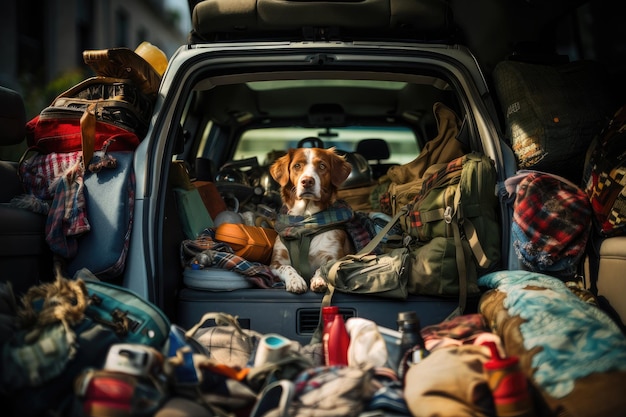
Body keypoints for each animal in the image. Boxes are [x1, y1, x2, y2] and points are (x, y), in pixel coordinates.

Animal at [268, 146, 354, 292]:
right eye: (297, 165)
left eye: (322, 166)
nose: (307, 181)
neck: (304, 225)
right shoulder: (276, 262)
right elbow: (287, 267)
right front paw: (295, 281)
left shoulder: (335, 257)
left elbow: (323, 268)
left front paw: (319, 279)